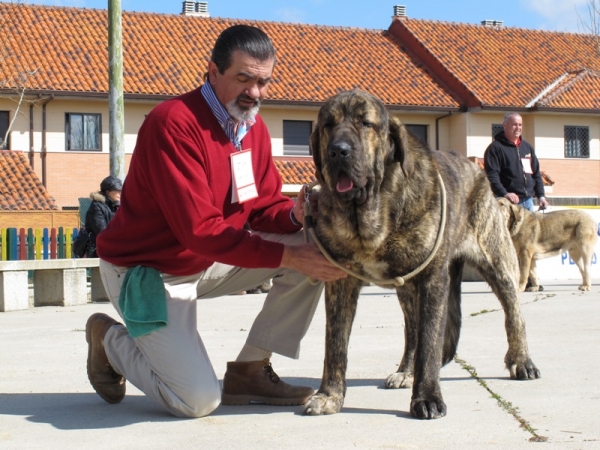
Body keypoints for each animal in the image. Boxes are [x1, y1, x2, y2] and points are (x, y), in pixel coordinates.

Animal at [304, 89, 540, 420]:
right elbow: (335, 344)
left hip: (498, 263)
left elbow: (430, 342)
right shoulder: (341, 282)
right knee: (412, 331)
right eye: (328, 124)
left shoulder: (432, 280)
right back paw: (406, 371)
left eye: (365, 123)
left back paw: (522, 361)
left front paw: (427, 397)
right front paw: (329, 395)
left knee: (513, 314)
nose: (339, 151)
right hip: (406, 287)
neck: (371, 215)